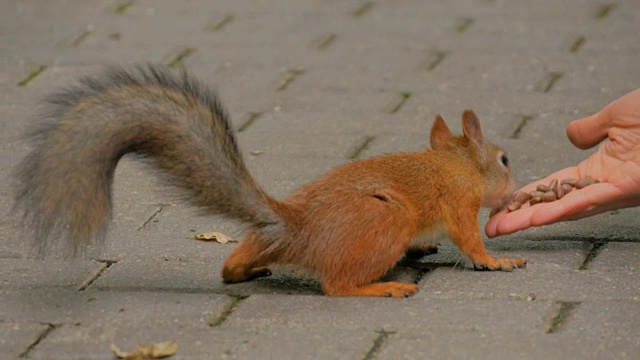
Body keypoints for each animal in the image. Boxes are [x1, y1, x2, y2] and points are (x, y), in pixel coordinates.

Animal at [13, 64, 524, 298]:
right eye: (504, 159)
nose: (513, 190)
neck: (455, 165)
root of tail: (292, 225)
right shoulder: (458, 203)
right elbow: (469, 239)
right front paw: (497, 261)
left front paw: (426, 247)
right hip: (385, 221)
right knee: (336, 286)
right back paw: (383, 287)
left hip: (264, 242)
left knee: (231, 266)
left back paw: (247, 269)